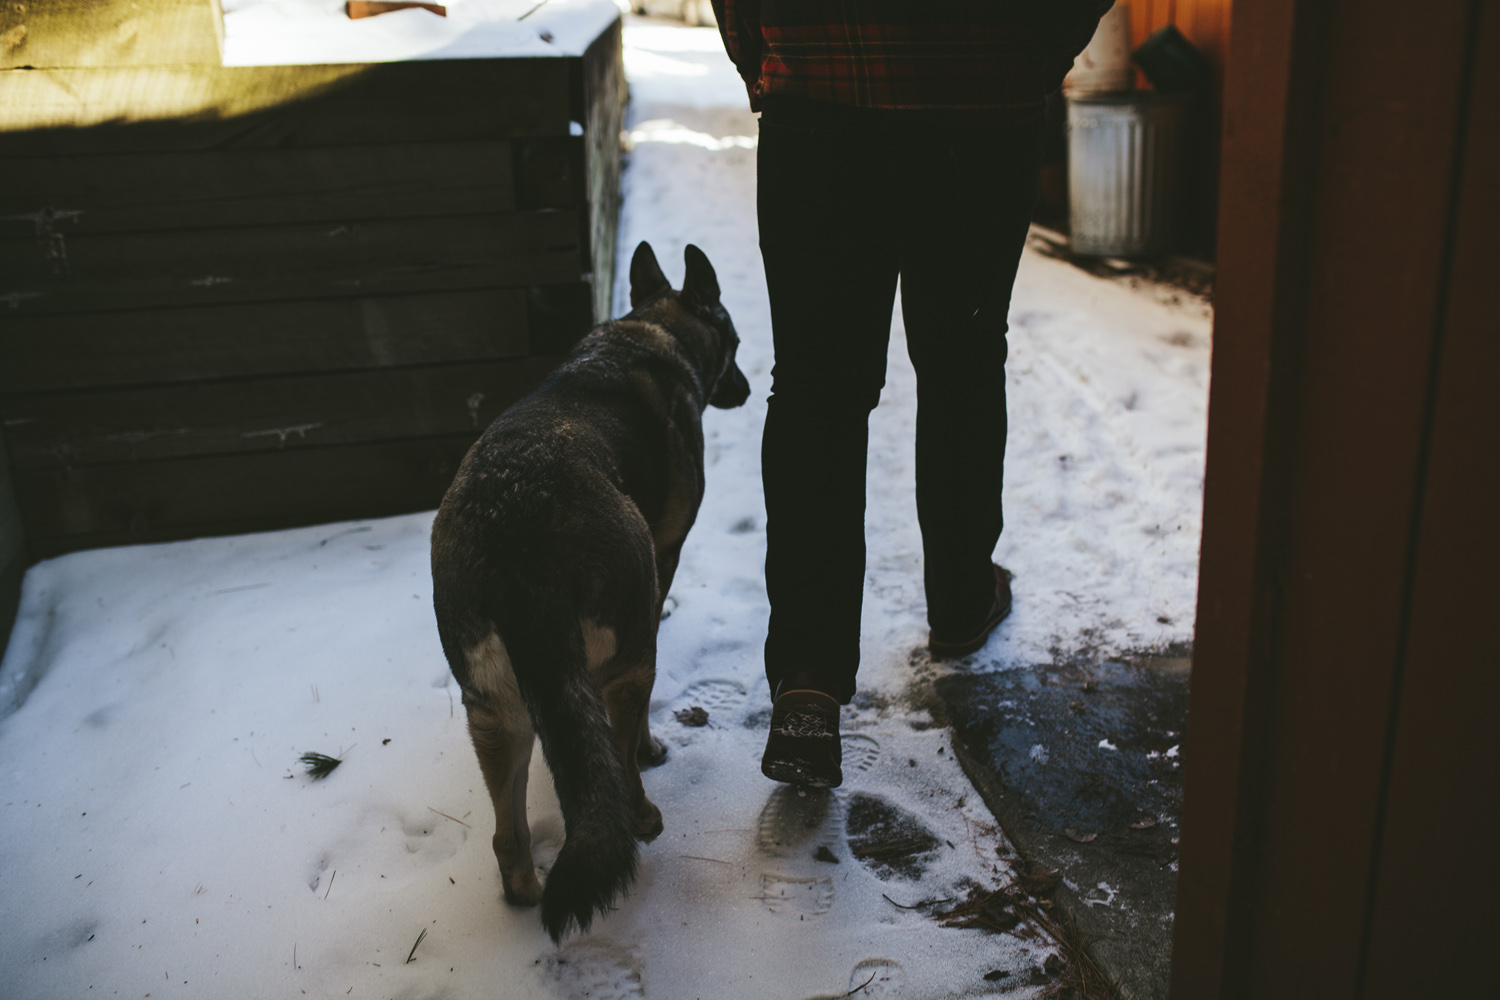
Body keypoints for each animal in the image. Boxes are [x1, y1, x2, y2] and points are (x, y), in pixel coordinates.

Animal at [432, 239, 747, 941]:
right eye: (736, 340)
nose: (745, 389)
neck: (649, 333)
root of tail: (514, 539)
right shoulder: (661, 564)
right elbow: (634, 731)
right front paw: (653, 749)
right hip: (626, 657)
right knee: (620, 762)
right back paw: (643, 815)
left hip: (492, 712)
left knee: (508, 837)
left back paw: (525, 890)